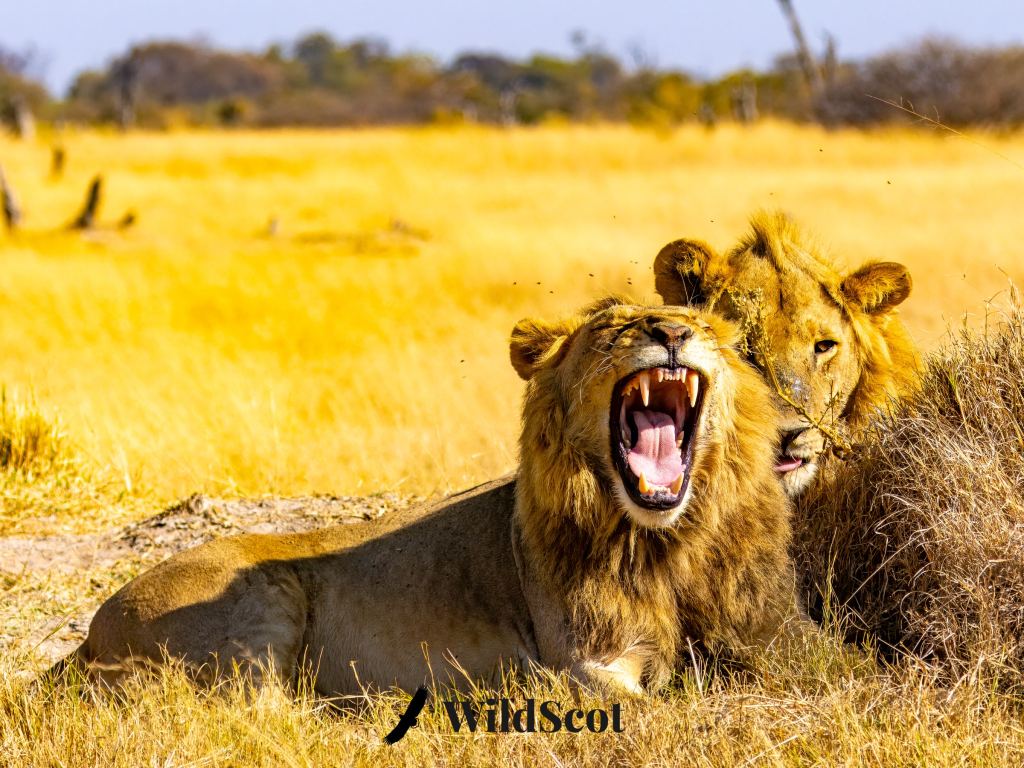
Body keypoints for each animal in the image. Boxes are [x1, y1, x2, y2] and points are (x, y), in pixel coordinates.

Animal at [62, 300, 801, 696]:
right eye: (613, 327)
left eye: (697, 324)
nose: (672, 334)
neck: (669, 536)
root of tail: (91, 633)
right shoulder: (587, 664)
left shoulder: (767, 642)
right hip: (263, 600)